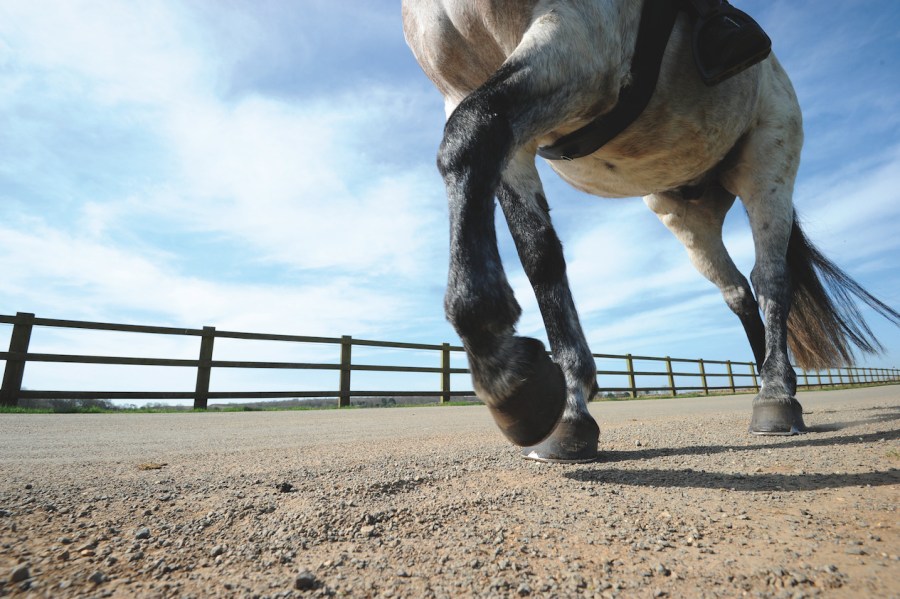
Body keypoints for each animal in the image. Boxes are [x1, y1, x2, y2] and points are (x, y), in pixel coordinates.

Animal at [402, 0, 900, 464]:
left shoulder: (580, 44)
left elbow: (470, 129)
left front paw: (500, 363)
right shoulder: (475, 99)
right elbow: (539, 256)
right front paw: (566, 407)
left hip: (768, 163)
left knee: (771, 279)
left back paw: (776, 394)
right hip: (685, 216)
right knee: (738, 291)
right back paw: (770, 381)